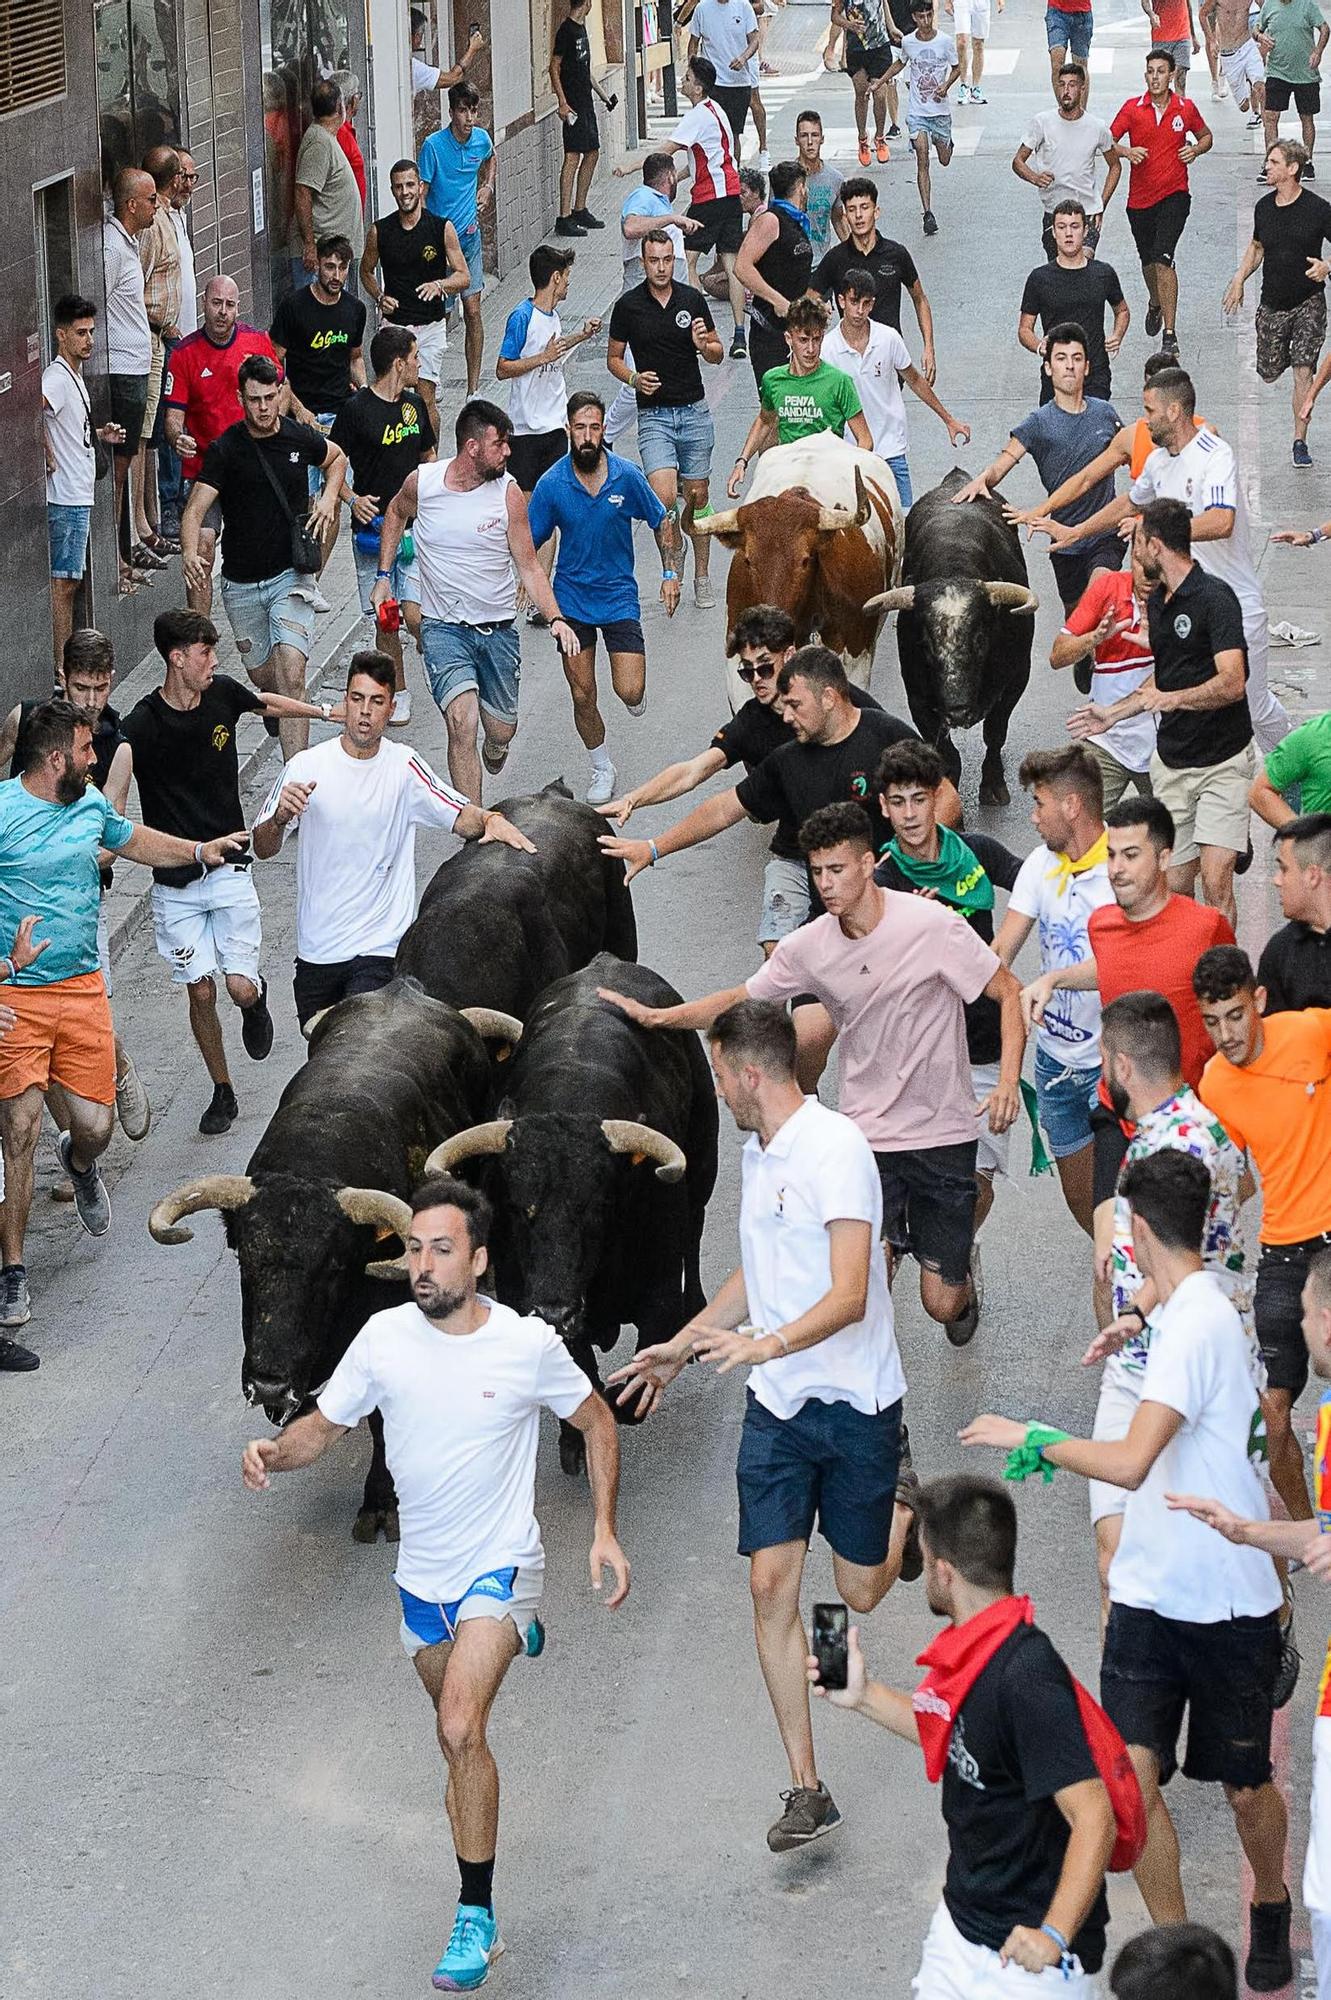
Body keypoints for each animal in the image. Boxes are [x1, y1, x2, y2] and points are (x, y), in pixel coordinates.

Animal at [421, 960, 715, 1480]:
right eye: (518, 1206)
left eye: (598, 1205)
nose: (556, 1312)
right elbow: (579, 1375)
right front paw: (574, 1442)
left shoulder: (659, 1294)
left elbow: (628, 1392)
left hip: (703, 1164)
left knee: (696, 1228)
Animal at [867, 466, 1039, 804]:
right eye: (926, 643)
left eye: (981, 639)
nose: (958, 710)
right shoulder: (919, 699)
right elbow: (947, 755)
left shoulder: (1017, 679)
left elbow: (995, 733)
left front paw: (993, 784)